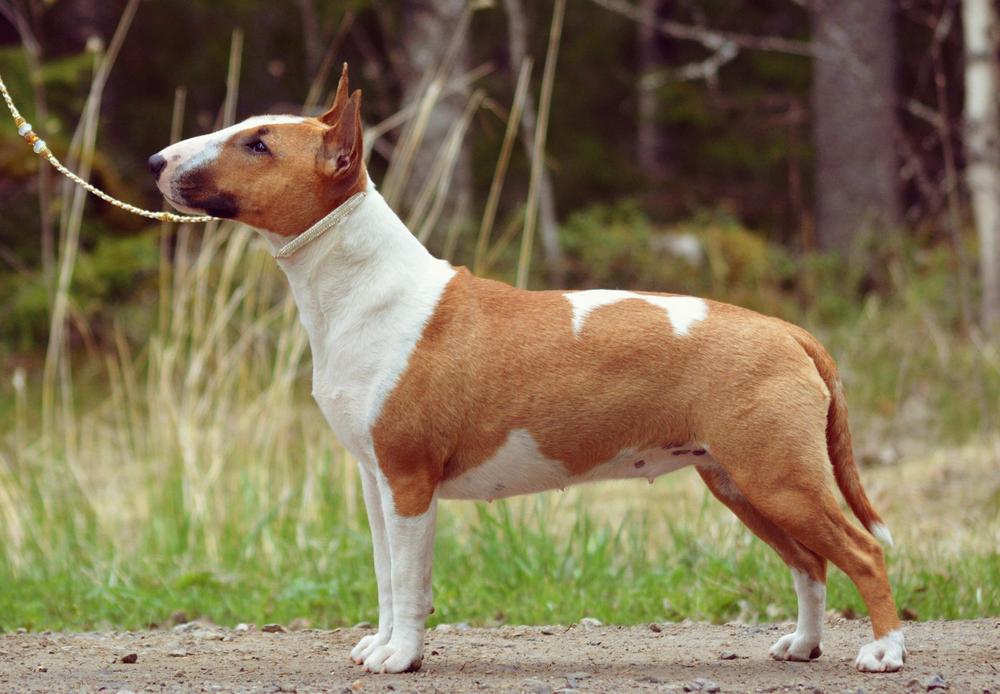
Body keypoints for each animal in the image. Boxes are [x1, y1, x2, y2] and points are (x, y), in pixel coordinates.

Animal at [149, 65, 906, 675]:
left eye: (258, 144)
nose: (157, 158)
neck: (361, 287)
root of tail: (792, 334)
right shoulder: (375, 481)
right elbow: (387, 577)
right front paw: (380, 646)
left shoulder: (409, 482)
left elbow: (410, 582)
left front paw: (401, 657)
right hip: (741, 482)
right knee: (809, 562)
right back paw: (802, 646)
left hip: (779, 477)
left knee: (862, 553)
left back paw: (885, 652)